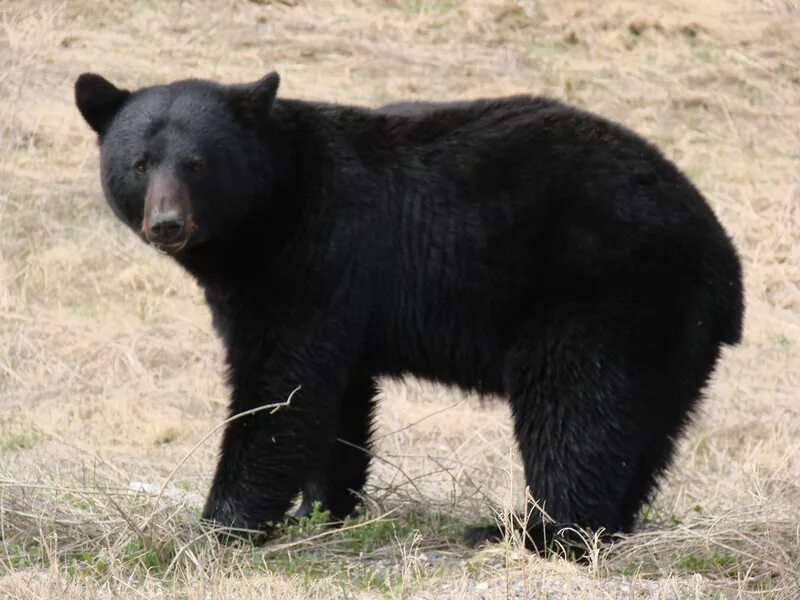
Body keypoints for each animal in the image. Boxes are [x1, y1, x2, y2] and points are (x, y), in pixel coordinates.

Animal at [75, 70, 744, 552]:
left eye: (197, 164)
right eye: (139, 163)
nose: (167, 223)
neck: (270, 213)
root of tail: (721, 256)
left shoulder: (318, 257)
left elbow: (281, 394)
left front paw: (220, 526)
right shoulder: (329, 294)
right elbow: (335, 402)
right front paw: (320, 512)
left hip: (600, 294)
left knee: (576, 411)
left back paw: (531, 533)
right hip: (672, 330)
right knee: (645, 429)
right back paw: (606, 527)